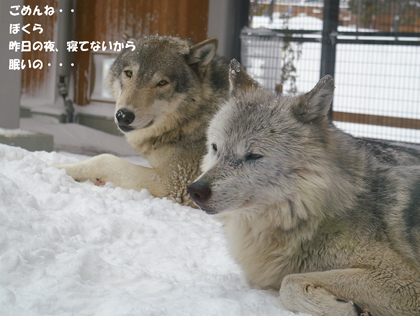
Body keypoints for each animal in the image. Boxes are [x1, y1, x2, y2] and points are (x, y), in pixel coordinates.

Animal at [53, 35, 230, 207]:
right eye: (129, 73)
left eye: (162, 83)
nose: (123, 115)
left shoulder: (174, 182)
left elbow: (103, 159)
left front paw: (57, 167)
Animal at [188, 59, 420, 316]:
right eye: (215, 148)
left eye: (253, 156)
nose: (195, 190)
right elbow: (290, 281)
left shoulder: (403, 279)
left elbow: (289, 283)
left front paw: (350, 309)